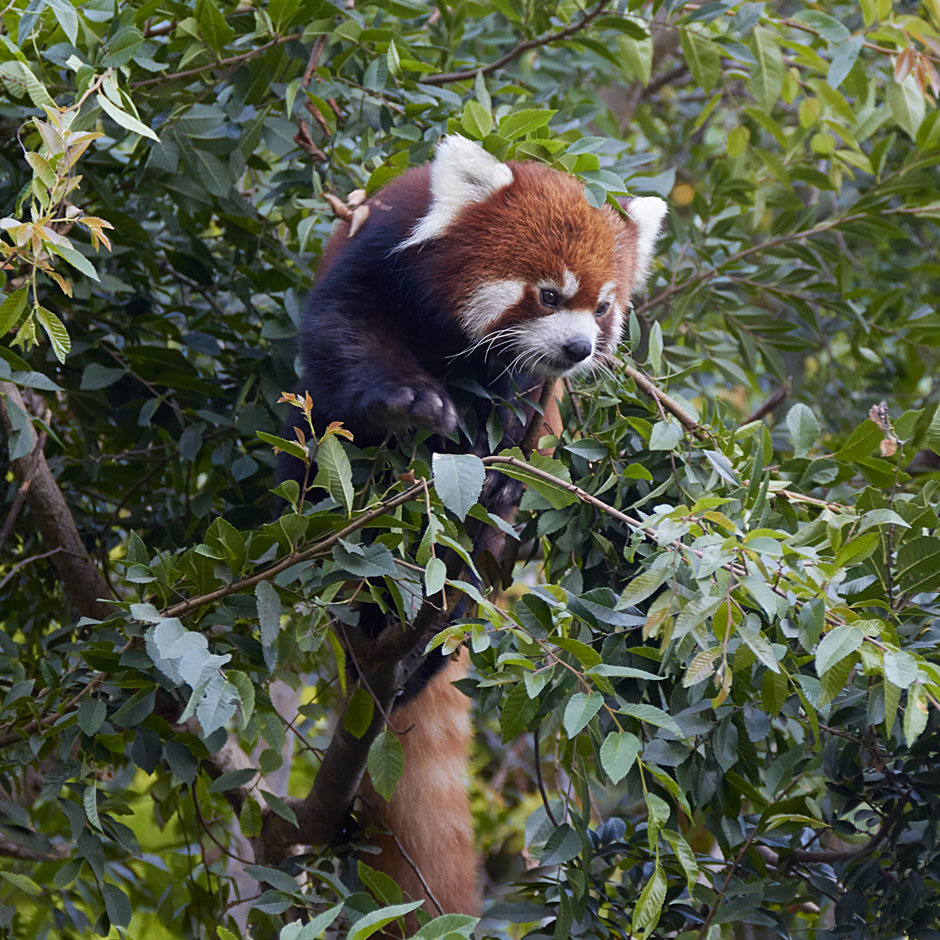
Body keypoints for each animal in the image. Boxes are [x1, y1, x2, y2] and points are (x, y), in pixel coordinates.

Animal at [290, 138, 664, 916]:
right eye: (549, 294)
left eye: (603, 307)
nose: (580, 349)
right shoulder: (375, 261)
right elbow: (344, 336)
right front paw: (408, 403)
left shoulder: (529, 391)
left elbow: (517, 416)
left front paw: (492, 472)